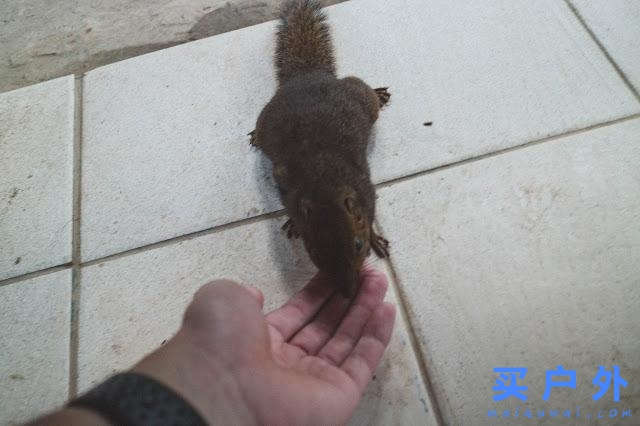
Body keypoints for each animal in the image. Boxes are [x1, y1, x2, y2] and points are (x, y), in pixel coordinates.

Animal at [250, 0, 390, 296]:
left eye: (358, 245)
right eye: (313, 253)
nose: (348, 291)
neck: (322, 182)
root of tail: (309, 75)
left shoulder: (365, 189)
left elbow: (371, 215)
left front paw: (377, 239)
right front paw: (293, 223)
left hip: (358, 94)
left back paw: (379, 93)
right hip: (266, 117)